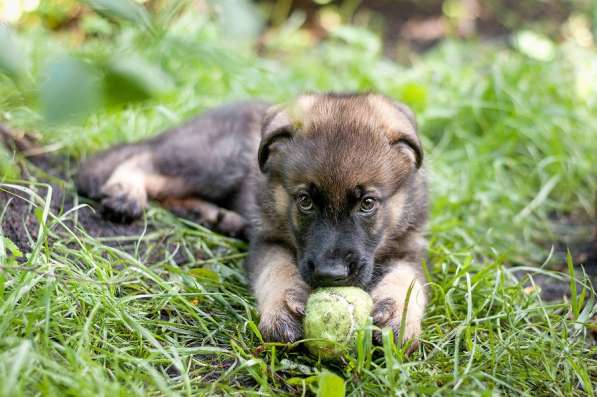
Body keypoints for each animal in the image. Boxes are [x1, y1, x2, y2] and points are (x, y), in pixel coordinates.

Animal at [75, 92, 428, 344]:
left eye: (367, 204)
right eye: (304, 201)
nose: (331, 274)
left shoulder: (410, 249)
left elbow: (408, 281)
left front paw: (398, 316)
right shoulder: (268, 240)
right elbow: (277, 270)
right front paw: (282, 308)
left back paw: (216, 216)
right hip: (220, 161)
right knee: (144, 159)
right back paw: (125, 192)